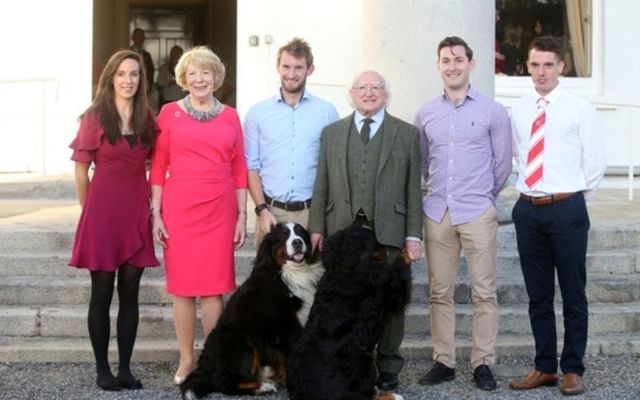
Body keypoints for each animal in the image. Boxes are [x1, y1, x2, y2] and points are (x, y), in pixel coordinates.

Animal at [181, 220, 324, 398]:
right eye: (284, 236)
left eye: (301, 232)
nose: (297, 242)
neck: (288, 274)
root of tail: (204, 367)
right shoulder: (285, 329)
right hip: (244, 346)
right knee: (226, 384)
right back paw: (264, 387)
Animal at [288, 225, 412, 400]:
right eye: (375, 241)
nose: (388, 245)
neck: (345, 269)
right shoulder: (389, 293)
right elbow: (398, 280)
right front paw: (404, 254)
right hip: (363, 359)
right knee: (367, 394)